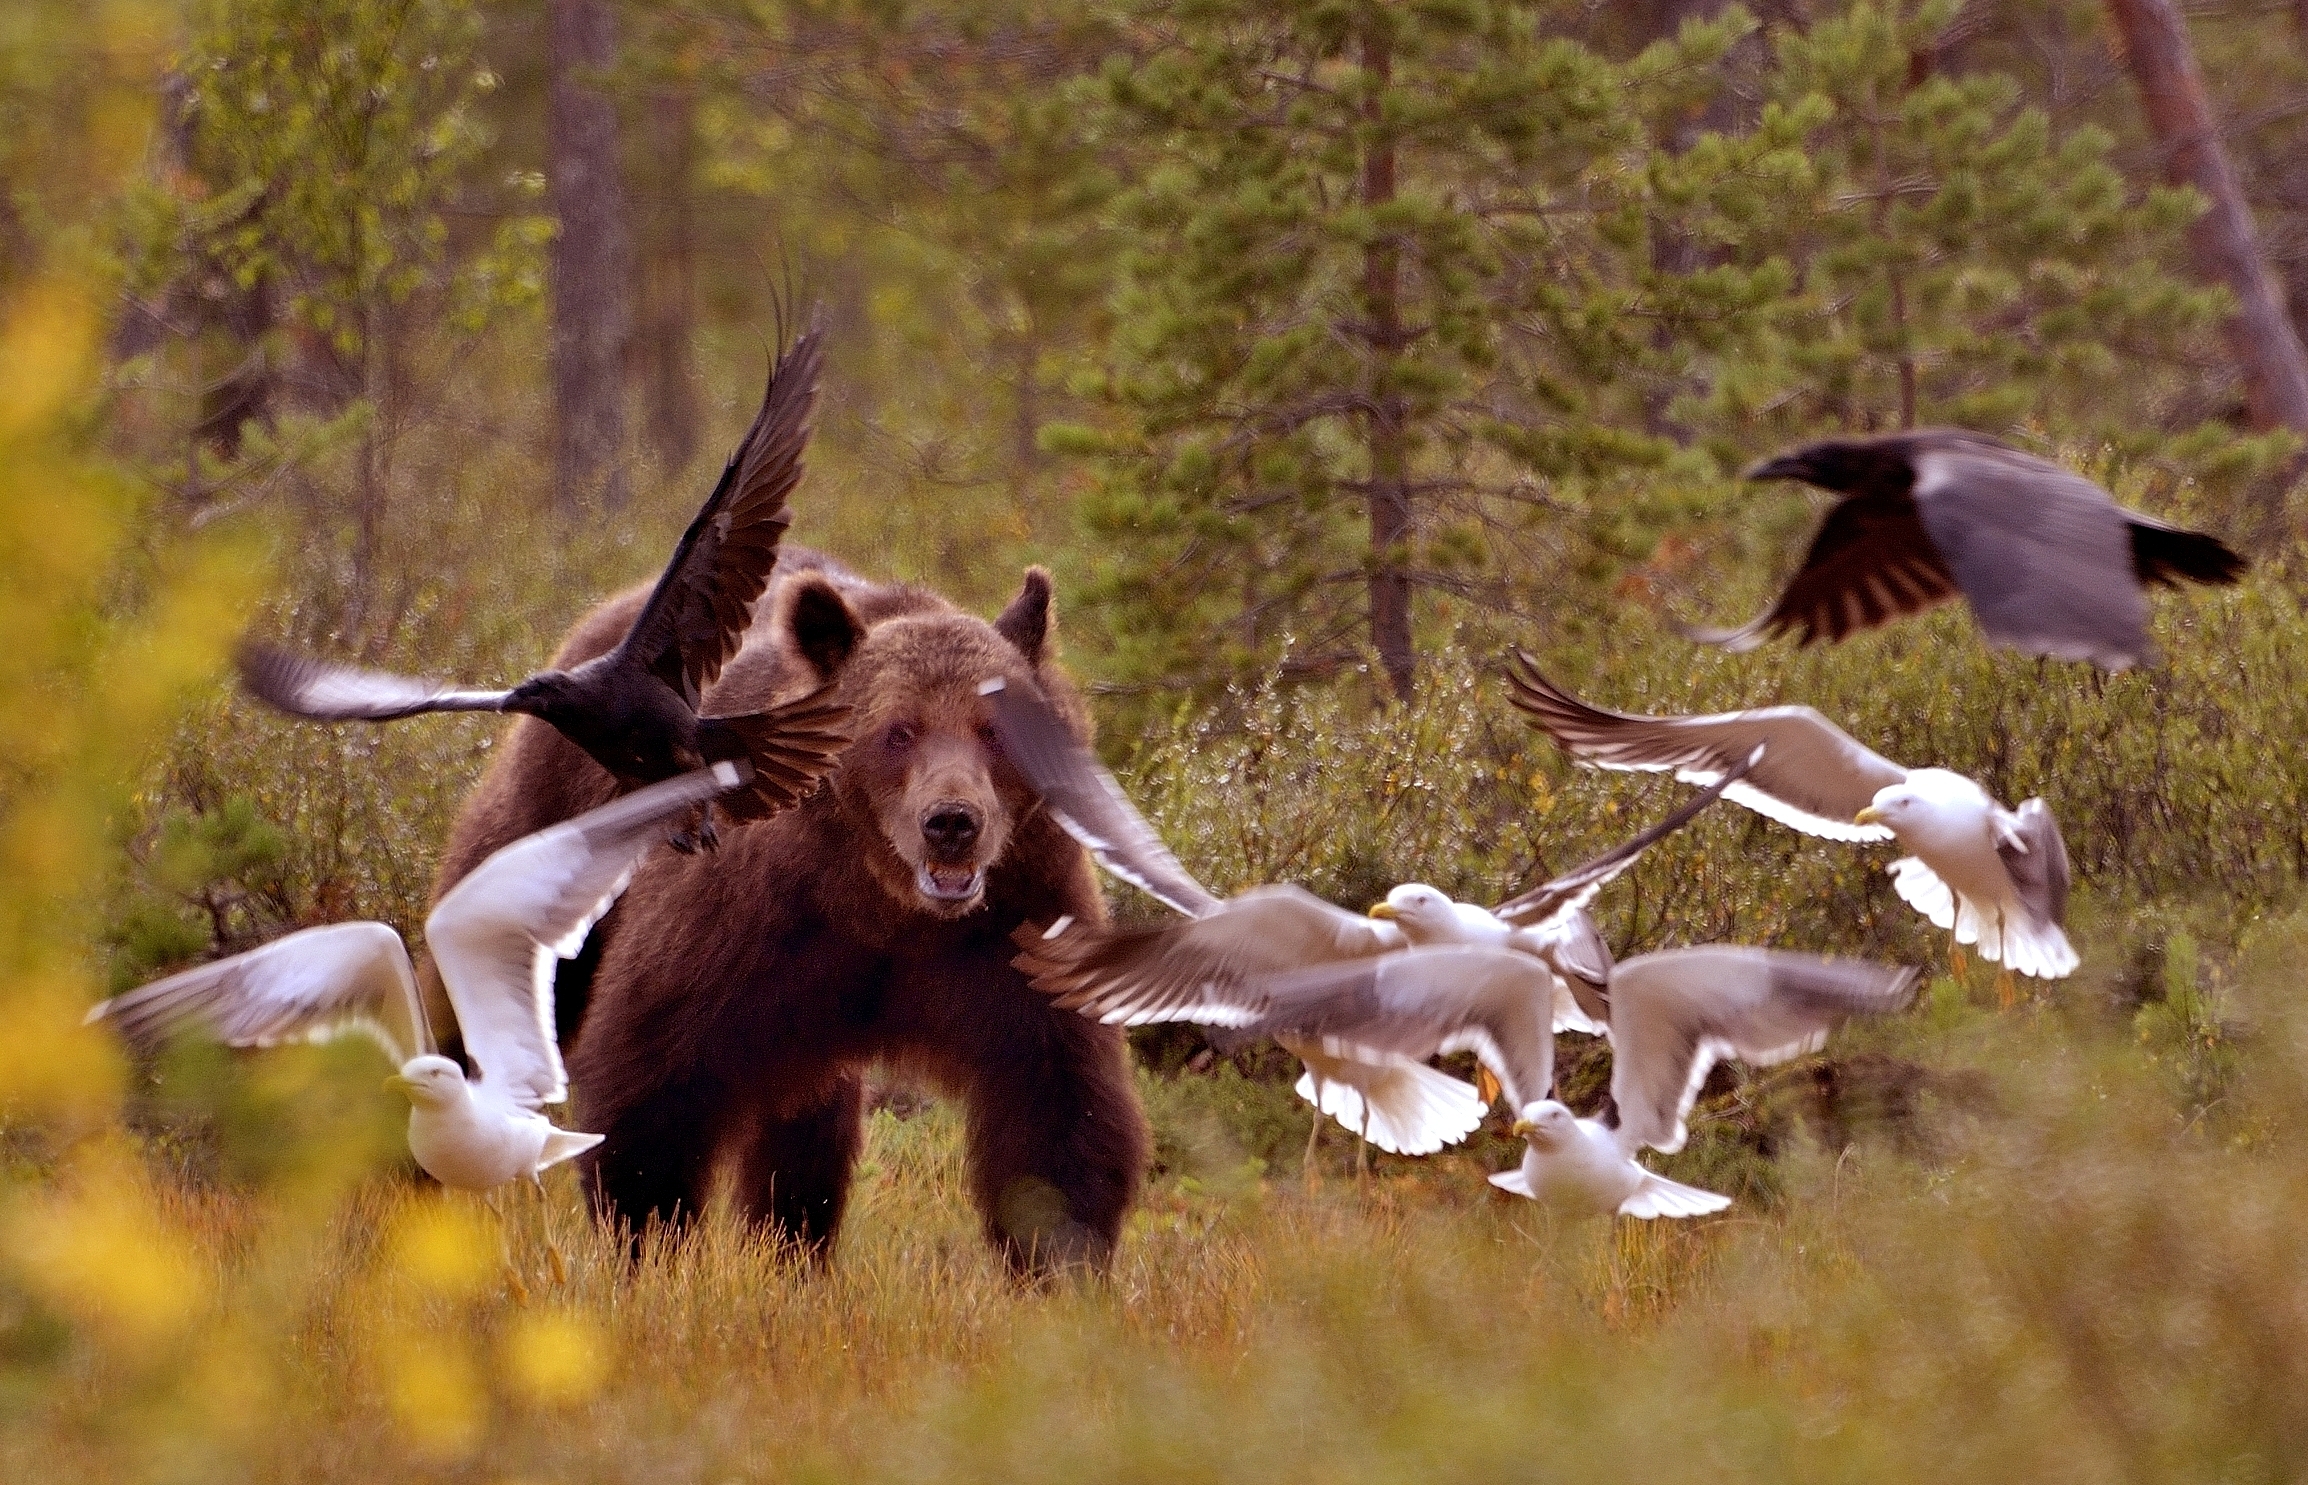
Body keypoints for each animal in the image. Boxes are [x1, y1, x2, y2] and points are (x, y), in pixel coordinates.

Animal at [426, 551, 1149, 1275]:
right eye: (898, 730)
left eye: (994, 730)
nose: (952, 822)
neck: (880, 904)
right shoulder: (746, 922)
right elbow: (653, 1077)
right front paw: (648, 1244)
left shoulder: (1019, 924)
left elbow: (1056, 1104)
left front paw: (1060, 1262)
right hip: (550, 810)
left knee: (808, 1127)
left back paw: (791, 1246)